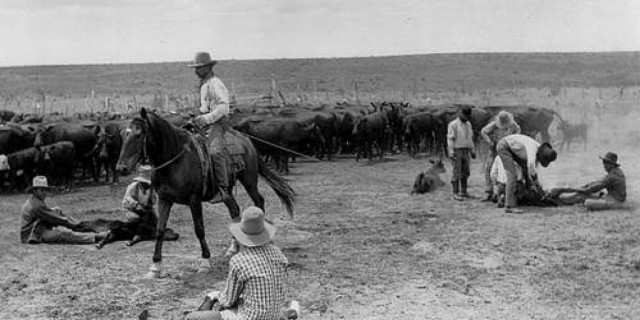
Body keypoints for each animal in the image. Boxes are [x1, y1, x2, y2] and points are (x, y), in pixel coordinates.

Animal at [115, 108, 296, 278]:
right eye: (123, 134)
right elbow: (160, 230)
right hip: (228, 192)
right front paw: (155, 266)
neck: (176, 160)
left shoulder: (194, 200)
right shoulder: (164, 199)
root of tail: (246, 140)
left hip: (249, 180)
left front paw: (205, 262)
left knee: (259, 201)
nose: (121, 168)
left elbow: (199, 229)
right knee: (235, 210)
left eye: (138, 134)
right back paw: (233, 248)